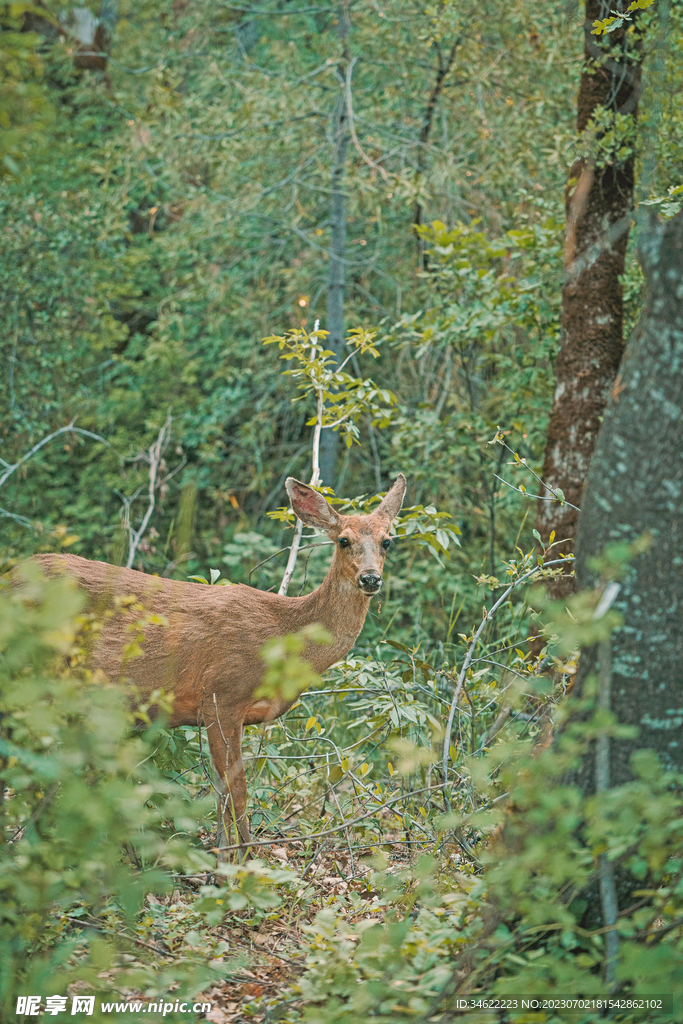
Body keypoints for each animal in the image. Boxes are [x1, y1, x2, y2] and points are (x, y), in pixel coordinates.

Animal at [28, 475, 405, 851]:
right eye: (343, 540)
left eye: (387, 541)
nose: (370, 578)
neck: (283, 637)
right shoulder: (221, 696)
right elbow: (237, 792)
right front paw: (244, 858)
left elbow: (221, 794)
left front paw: (222, 855)